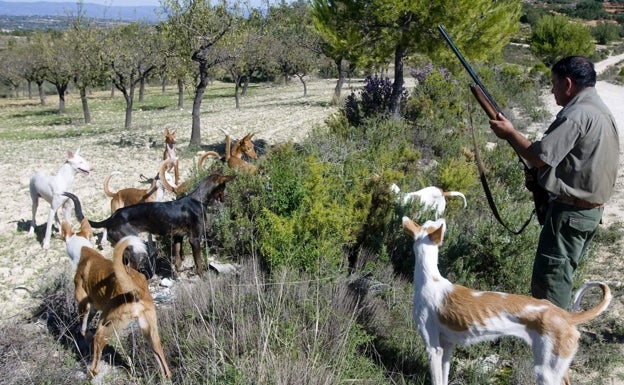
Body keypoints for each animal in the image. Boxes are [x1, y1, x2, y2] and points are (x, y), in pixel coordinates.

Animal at [88, 171, 234, 272]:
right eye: (224, 186)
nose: (226, 199)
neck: (198, 199)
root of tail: (111, 218)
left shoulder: (178, 237)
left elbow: (178, 261)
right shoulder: (195, 239)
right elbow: (198, 263)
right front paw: (202, 277)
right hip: (133, 249)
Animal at [402, 216, 612, 384]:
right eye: (430, 222)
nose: (442, 218)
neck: (430, 278)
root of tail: (565, 315)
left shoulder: (433, 348)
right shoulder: (447, 346)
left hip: (546, 371)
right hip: (558, 367)